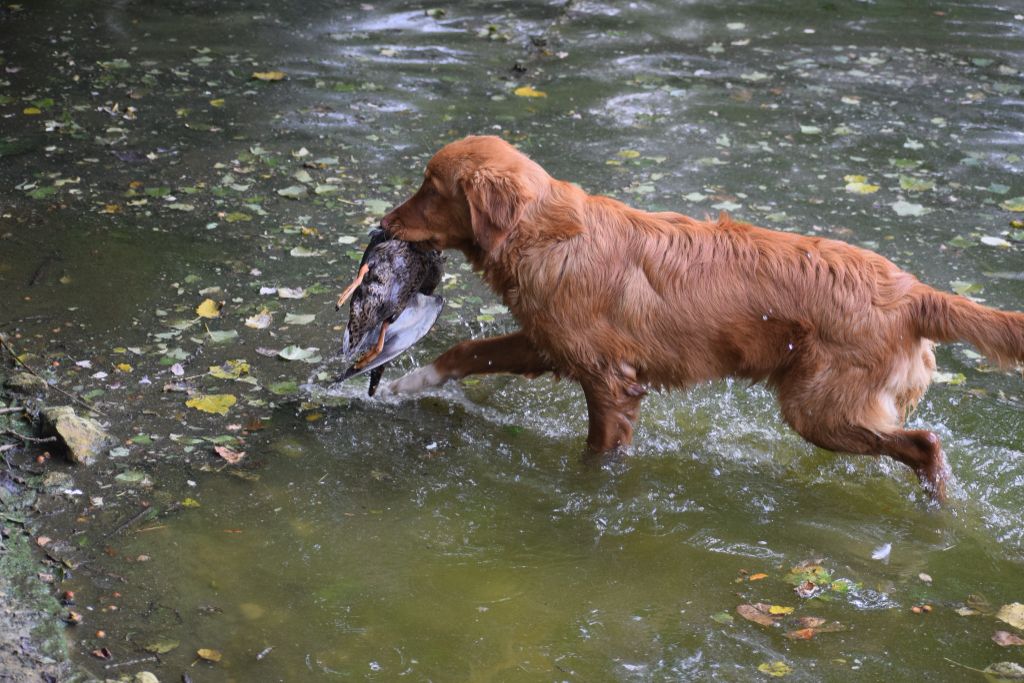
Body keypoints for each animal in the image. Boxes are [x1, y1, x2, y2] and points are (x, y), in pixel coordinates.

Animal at [378, 136, 1024, 501]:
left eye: (431, 188)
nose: (382, 223)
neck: (547, 234)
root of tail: (913, 290)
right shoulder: (550, 344)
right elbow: (463, 352)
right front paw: (403, 384)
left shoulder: (609, 381)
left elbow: (598, 452)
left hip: (819, 409)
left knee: (926, 444)